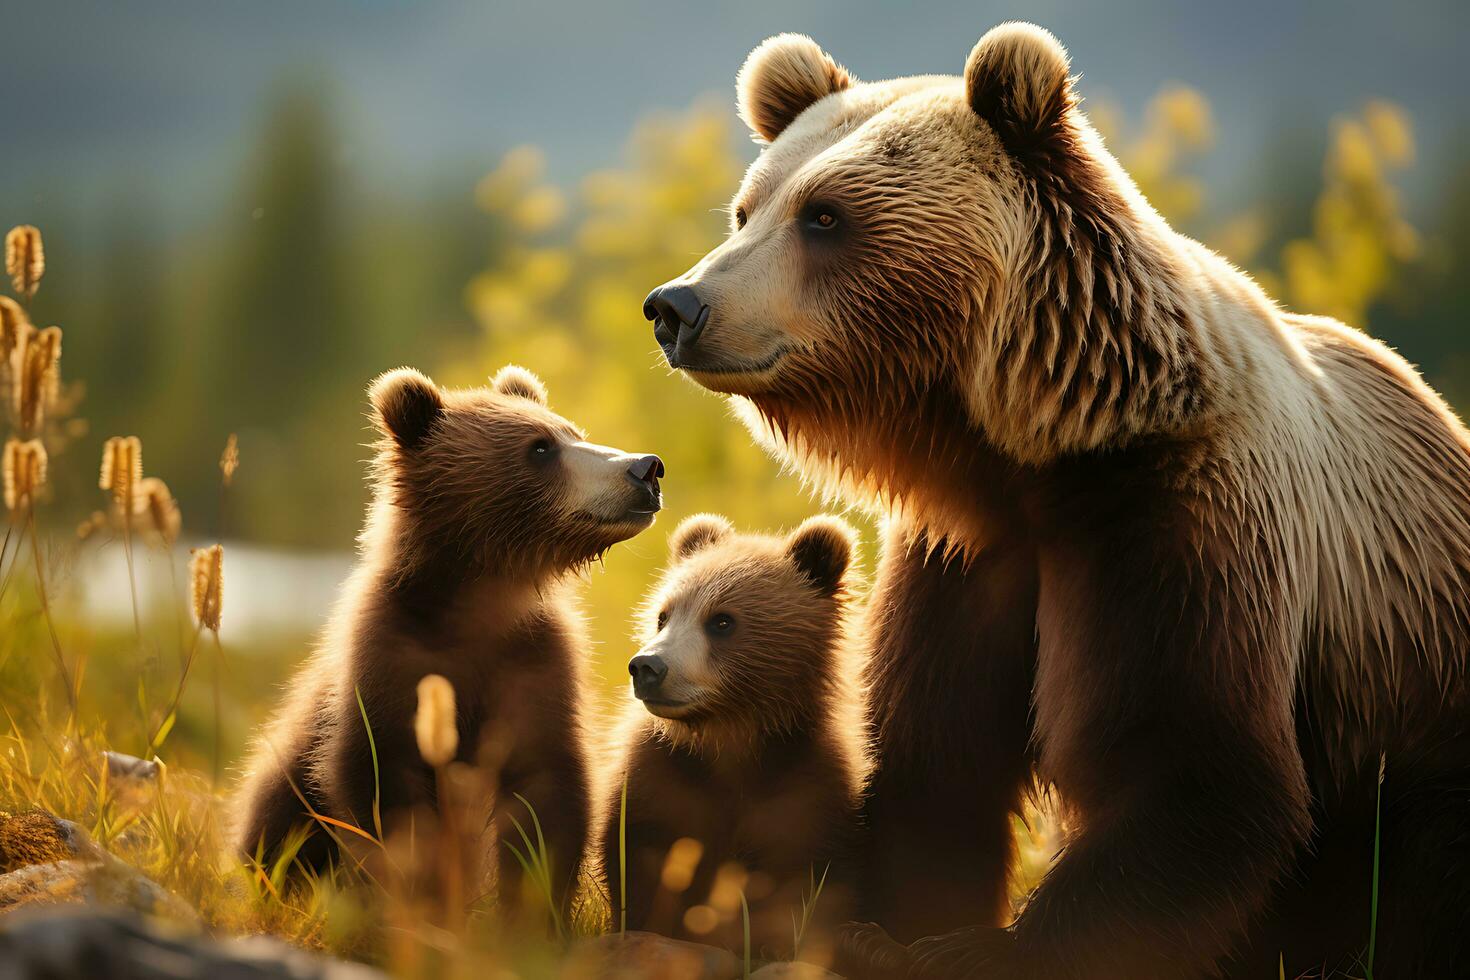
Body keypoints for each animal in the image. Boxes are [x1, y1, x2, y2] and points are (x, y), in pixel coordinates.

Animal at [643, 21, 1470, 980]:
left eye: (825, 215)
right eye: (749, 209)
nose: (677, 306)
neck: (1031, 450)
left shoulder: (1176, 526)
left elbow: (1193, 772)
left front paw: (974, 948)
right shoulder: (967, 558)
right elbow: (938, 761)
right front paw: (895, 922)